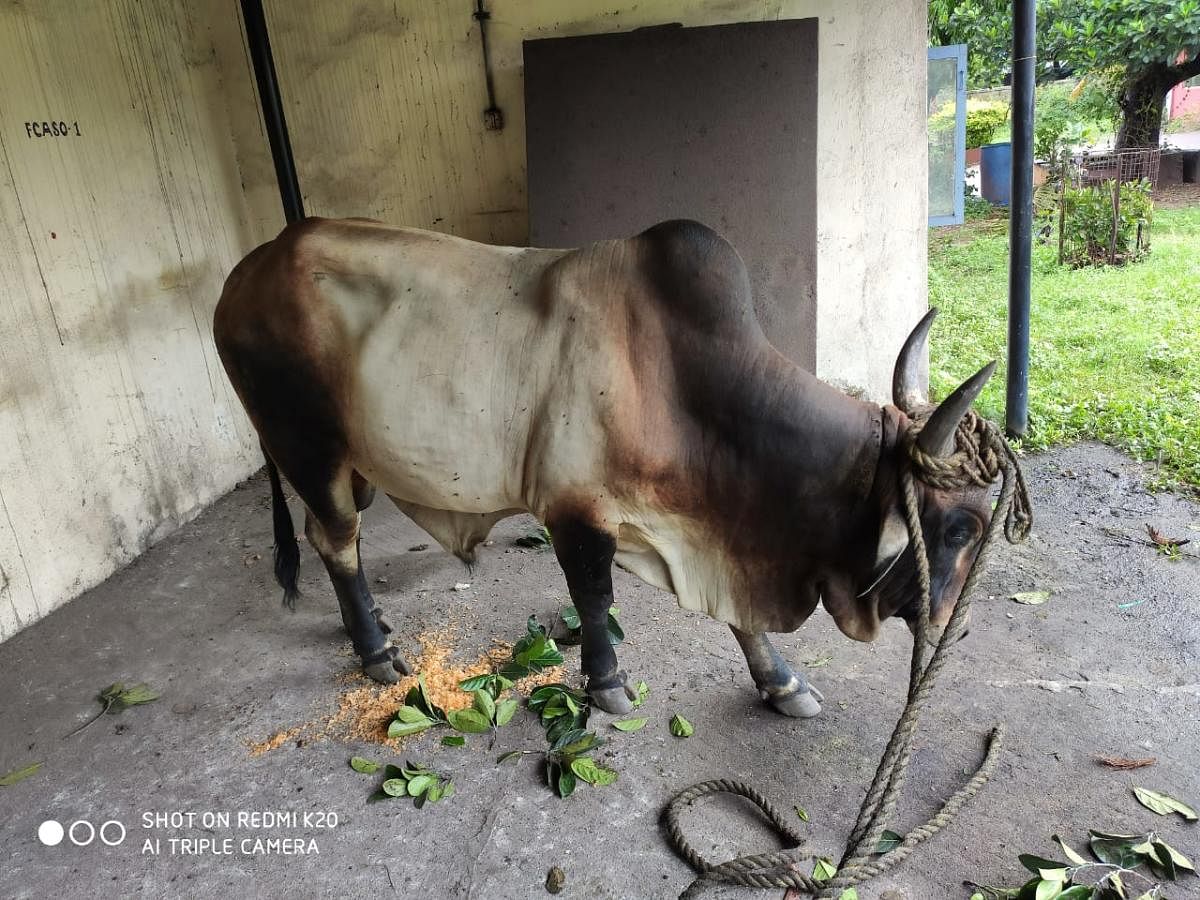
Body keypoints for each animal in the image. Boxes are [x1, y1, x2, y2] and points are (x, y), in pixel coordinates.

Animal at [213, 217, 993, 720]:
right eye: (959, 528)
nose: (950, 630)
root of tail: (249, 269)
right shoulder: (577, 508)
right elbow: (593, 598)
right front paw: (607, 683)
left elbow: (737, 621)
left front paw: (782, 684)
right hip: (309, 449)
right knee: (334, 540)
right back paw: (375, 650)